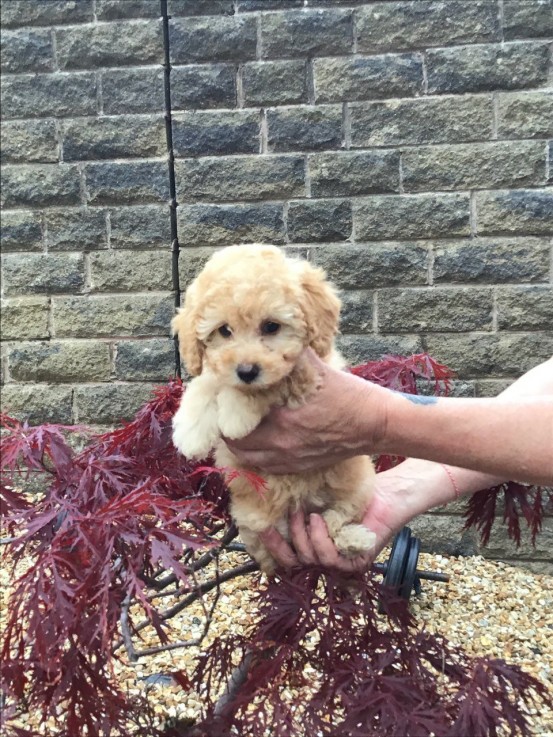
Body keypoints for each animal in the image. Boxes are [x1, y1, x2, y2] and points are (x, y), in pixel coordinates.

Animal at [172, 244, 376, 572]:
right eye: (224, 331)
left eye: (271, 326)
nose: (246, 371)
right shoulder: (220, 370)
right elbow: (207, 381)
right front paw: (190, 432)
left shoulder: (305, 376)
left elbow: (270, 385)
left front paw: (234, 415)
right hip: (255, 520)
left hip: (357, 488)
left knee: (334, 522)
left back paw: (356, 539)